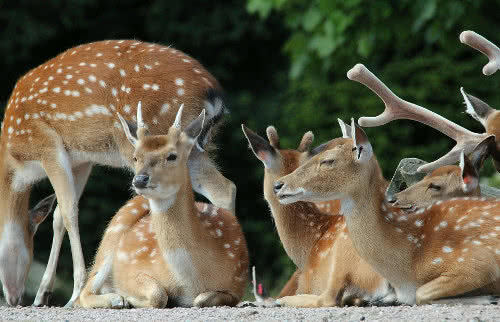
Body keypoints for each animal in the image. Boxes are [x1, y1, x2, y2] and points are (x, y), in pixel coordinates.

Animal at [77, 104, 247, 308]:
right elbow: (158, 294)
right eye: (135, 157)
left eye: (172, 156)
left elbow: (201, 299)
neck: (190, 281)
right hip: (113, 232)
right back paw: (116, 299)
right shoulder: (132, 272)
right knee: (85, 290)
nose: (140, 179)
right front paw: (128, 298)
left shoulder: (236, 286)